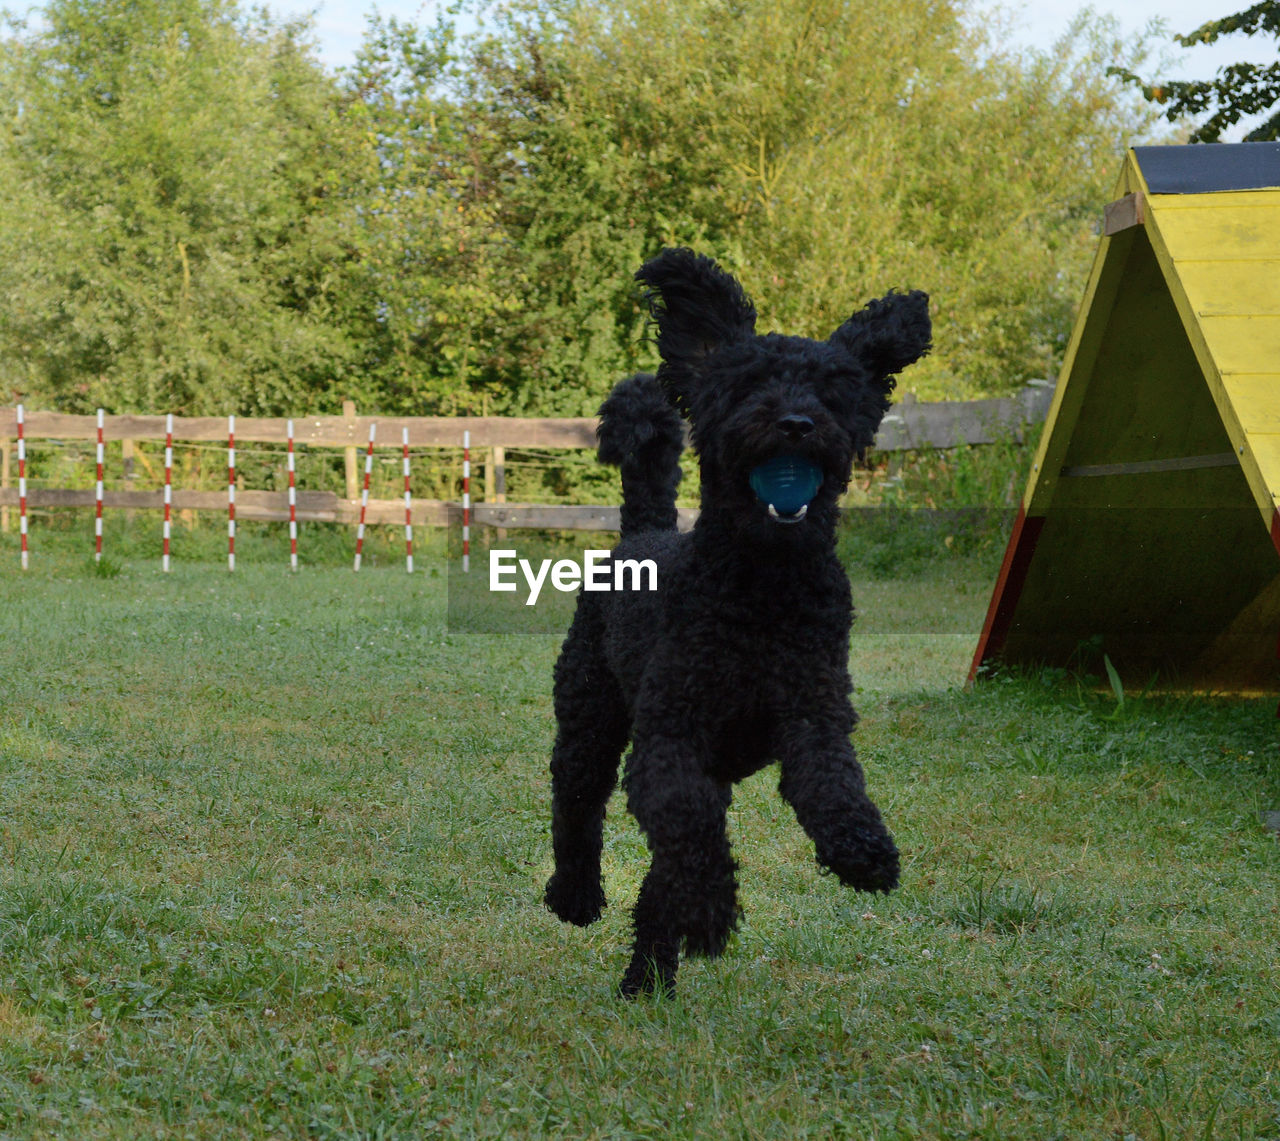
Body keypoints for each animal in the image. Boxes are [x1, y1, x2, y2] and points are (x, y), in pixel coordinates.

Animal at [542, 245, 931, 993]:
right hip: (589, 714)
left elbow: (833, 786)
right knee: (578, 804)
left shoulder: (813, 714)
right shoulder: (670, 736)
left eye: (833, 391)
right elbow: (688, 828)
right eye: (750, 384)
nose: (796, 423)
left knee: (660, 865)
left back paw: (650, 975)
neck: (762, 591)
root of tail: (643, 531)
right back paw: (579, 898)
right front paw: (712, 905)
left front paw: (864, 850)